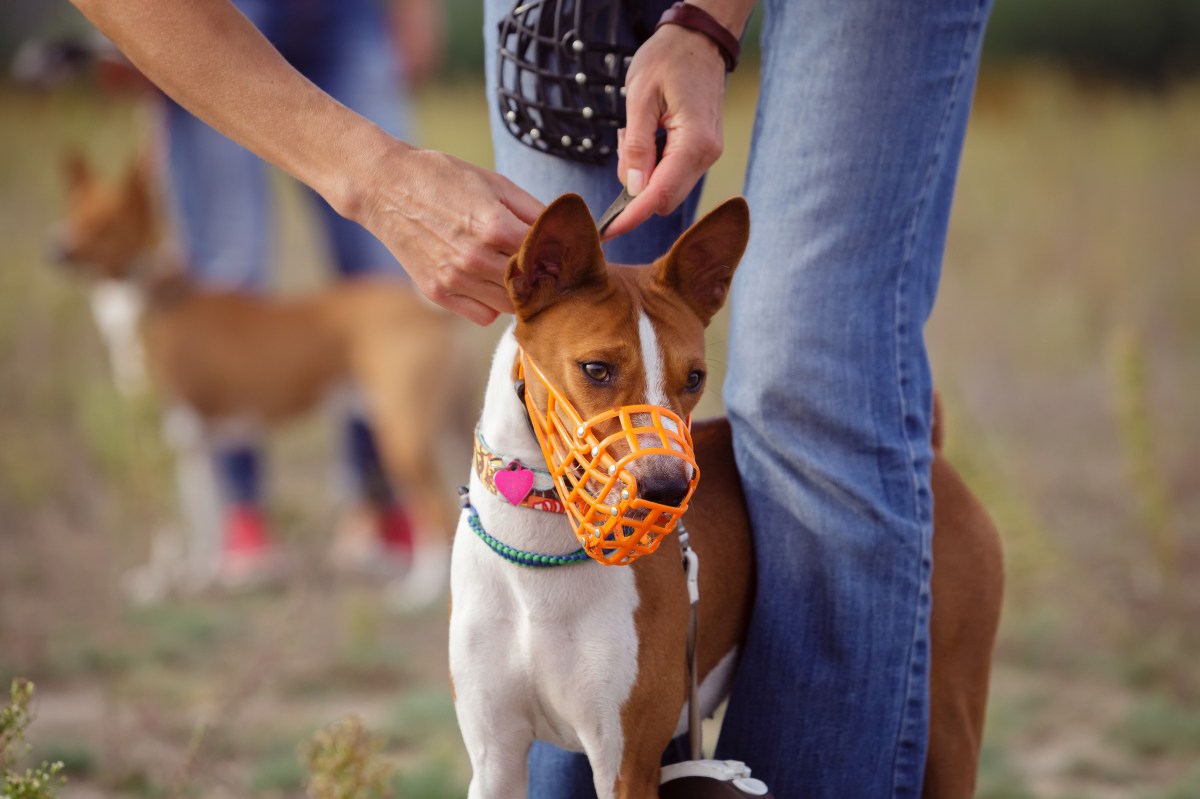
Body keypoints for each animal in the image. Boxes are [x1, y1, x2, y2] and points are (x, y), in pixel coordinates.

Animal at [54, 152, 460, 607]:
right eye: (72, 213)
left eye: (105, 224)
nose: (56, 249)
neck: (157, 300)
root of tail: (424, 310)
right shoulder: (194, 447)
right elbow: (202, 523)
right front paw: (199, 579)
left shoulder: (166, 441)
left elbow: (171, 527)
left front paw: (160, 585)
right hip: (449, 424)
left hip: (402, 438)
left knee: (437, 510)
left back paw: (419, 591)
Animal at [448, 194, 1003, 796]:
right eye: (595, 369)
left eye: (694, 378)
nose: (667, 489)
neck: (539, 557)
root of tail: (933, 459)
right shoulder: (496, 759)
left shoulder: (627, 765)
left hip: (949, 720)